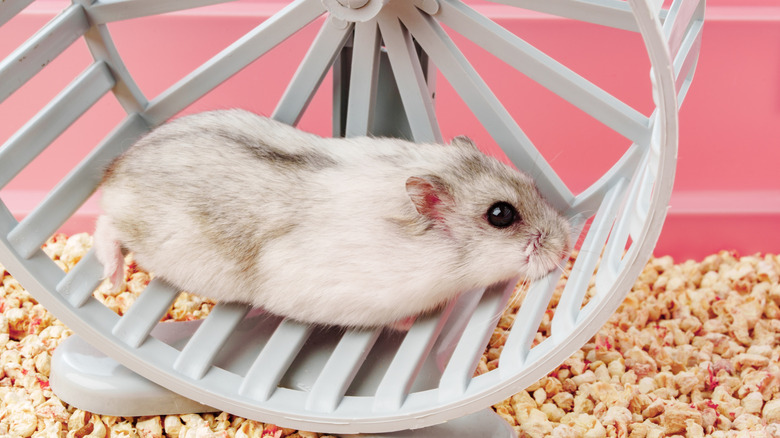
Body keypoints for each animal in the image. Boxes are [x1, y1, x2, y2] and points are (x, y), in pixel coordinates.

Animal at [96, 109, 572, 328]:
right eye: (500, 214)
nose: (567, 245)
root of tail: (116, 166)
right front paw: (409, 322)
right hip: (137, 228)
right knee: (106, 227)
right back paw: (114, 280)